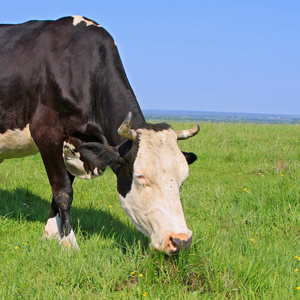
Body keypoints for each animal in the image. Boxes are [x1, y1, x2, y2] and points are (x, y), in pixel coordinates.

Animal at [1, 16, 202, 254]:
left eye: (183, 179)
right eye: (140, 176)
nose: (181, 240)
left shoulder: (72, 145)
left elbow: (60, 192)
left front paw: (51, 235)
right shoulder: (46, 133)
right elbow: (63, 191)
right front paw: (70, 243)